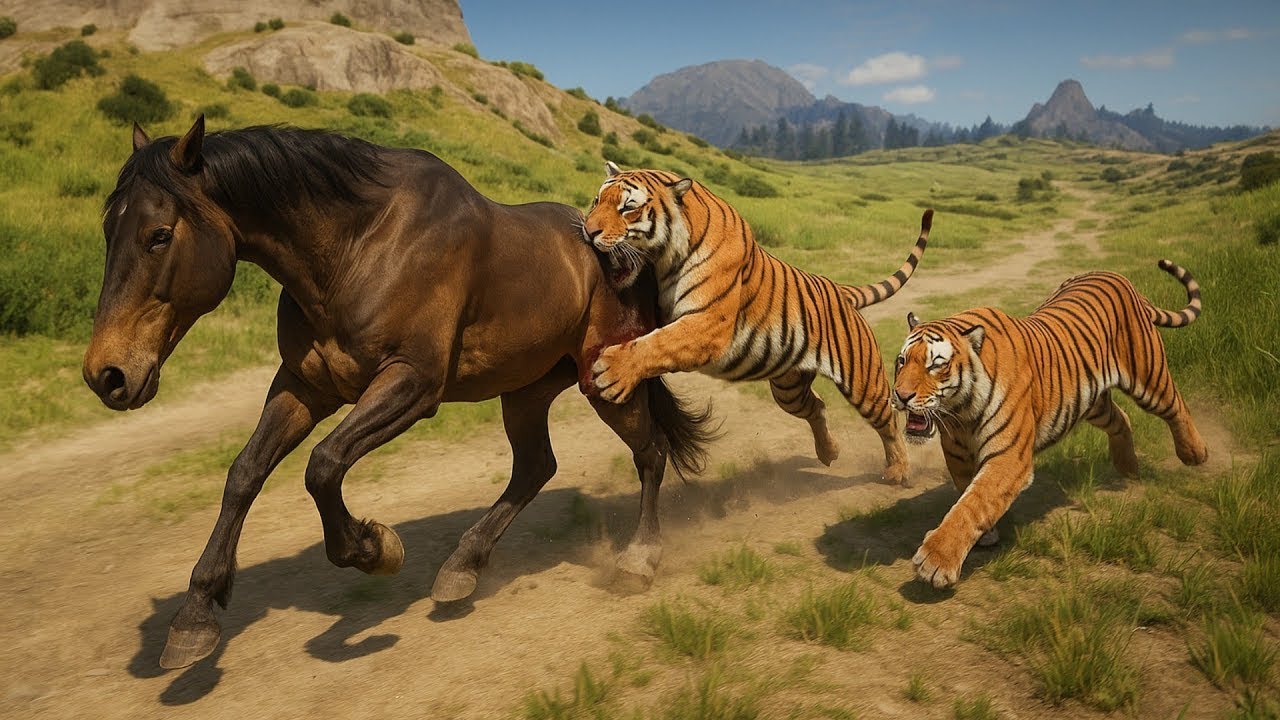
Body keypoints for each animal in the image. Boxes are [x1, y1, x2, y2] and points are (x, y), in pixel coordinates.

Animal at [583, 162, 931, 486]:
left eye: (627, 207)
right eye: (596, 200)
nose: (588, 231)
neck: (666, 258)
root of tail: (841, 289)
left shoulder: (709, 324)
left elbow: (659, 343)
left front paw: (612, 372)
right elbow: (653, 339)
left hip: (863, 382)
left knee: (889, 421)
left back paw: (898, 471)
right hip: (788, 389)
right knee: (817, 406)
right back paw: (828, 452)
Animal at [892, 260, 1208, 588]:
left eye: (935, 365)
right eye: (901, 361)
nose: (900, 395)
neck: (960, 413)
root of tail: (1121, 278)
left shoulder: (1009, 459)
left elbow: (973, 502)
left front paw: (937, 560)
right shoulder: (958, 455)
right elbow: (968, 495)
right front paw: (986, 536)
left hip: (1149, 377)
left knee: (1176, 406)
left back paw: (1195, 454)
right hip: (1092, 402)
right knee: (1123, 419)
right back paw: (1128, 469)